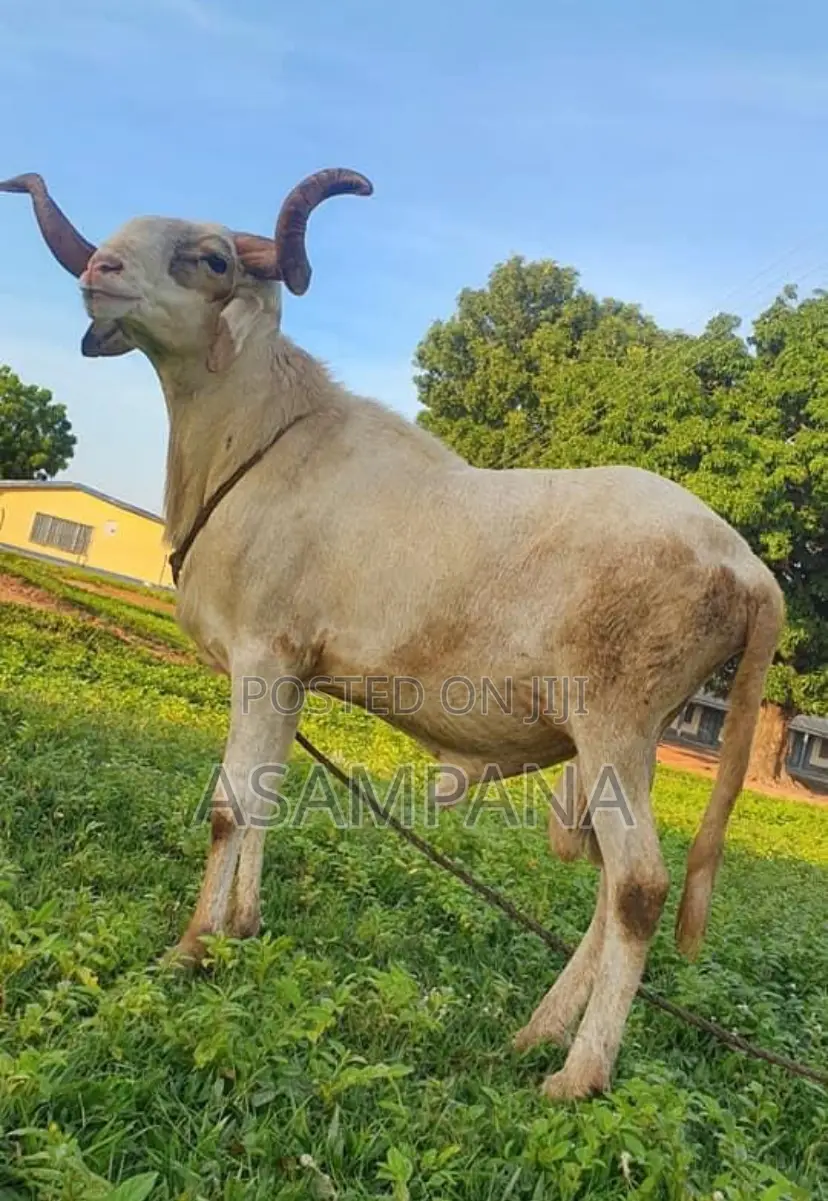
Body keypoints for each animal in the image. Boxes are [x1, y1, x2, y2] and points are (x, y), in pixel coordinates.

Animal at [2, 169, 784, 1101]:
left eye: (212, 256)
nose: (104, 271)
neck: (256, 444)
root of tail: (748, 567)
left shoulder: (262, 658)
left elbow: (231, 807)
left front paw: (189, 948)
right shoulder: (291, 676)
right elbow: (268, 796)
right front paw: (242, 926)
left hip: (614, 726)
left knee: (638, 886)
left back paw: (577, 1073)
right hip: (629, 745)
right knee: (606, 887)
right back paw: (535, 1032)